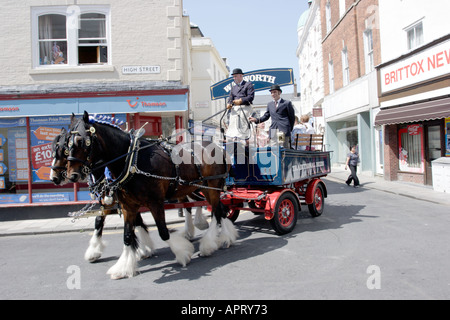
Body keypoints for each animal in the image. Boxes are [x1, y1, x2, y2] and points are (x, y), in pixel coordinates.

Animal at [65, 111, 237, 278]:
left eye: (81, 141)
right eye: (66, 143)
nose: (72, 175)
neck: (132, 161)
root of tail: (220, 149)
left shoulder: (155, 202)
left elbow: (163, 232)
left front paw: (183, 253)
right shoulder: (128, 206)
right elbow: (127, 235)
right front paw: (123, 267)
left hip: (212, 187)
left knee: (216, 213)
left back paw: (209, 245)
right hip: (205, 188)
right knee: (220, 210)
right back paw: (225, 237)